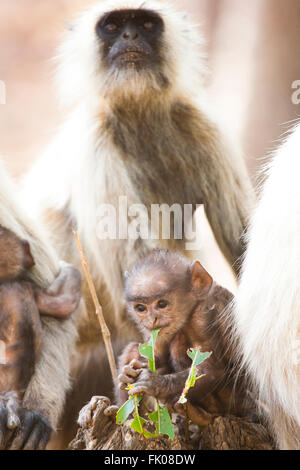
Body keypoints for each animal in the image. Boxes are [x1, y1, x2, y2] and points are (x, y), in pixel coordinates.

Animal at [116, 250, 254, 426]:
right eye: (141, 308)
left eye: (162, 304)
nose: (152, 320)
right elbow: (154, 356)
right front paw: (127, 374)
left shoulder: (202, 318)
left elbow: (211, 369)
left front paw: (154, 383)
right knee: (133, 347)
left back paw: (201, 416)